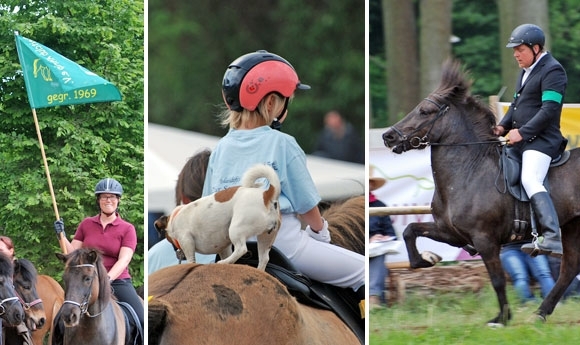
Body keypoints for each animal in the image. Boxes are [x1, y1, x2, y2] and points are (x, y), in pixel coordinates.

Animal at [382, 59, 576, 326]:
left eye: (425, 111)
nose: (388, 136)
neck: (468, 171)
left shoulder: (485, 239)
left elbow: (497, 279)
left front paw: (501, 318)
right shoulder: (452, 233)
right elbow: (410, 231)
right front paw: (428, 258)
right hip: (572, 228)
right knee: (569, 269)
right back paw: (540, 313)